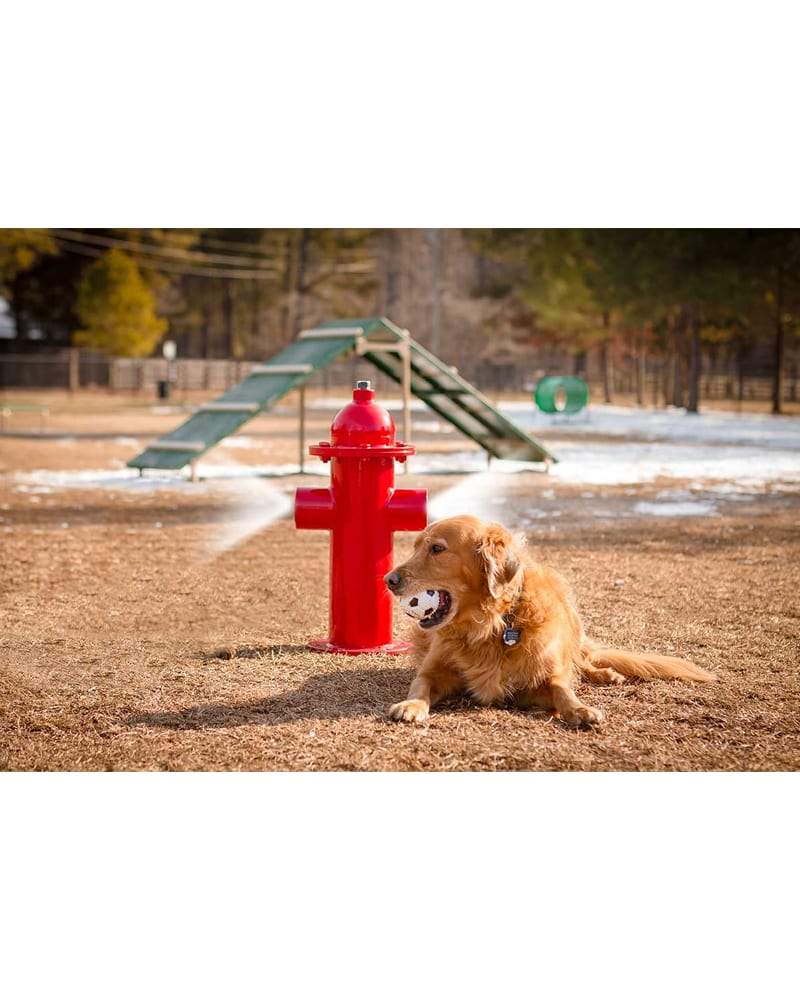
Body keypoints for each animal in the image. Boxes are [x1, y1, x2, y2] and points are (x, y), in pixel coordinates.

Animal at [384, 516, 716, 728]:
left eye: (437, 549)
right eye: (415, 547)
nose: (388, 579)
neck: (490, 626)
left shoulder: (541, 680)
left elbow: (562, 689)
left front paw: (580, 710)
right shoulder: (434, 670)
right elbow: (420, 685)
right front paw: (411, 706)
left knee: (583, 662)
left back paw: (605, 674)